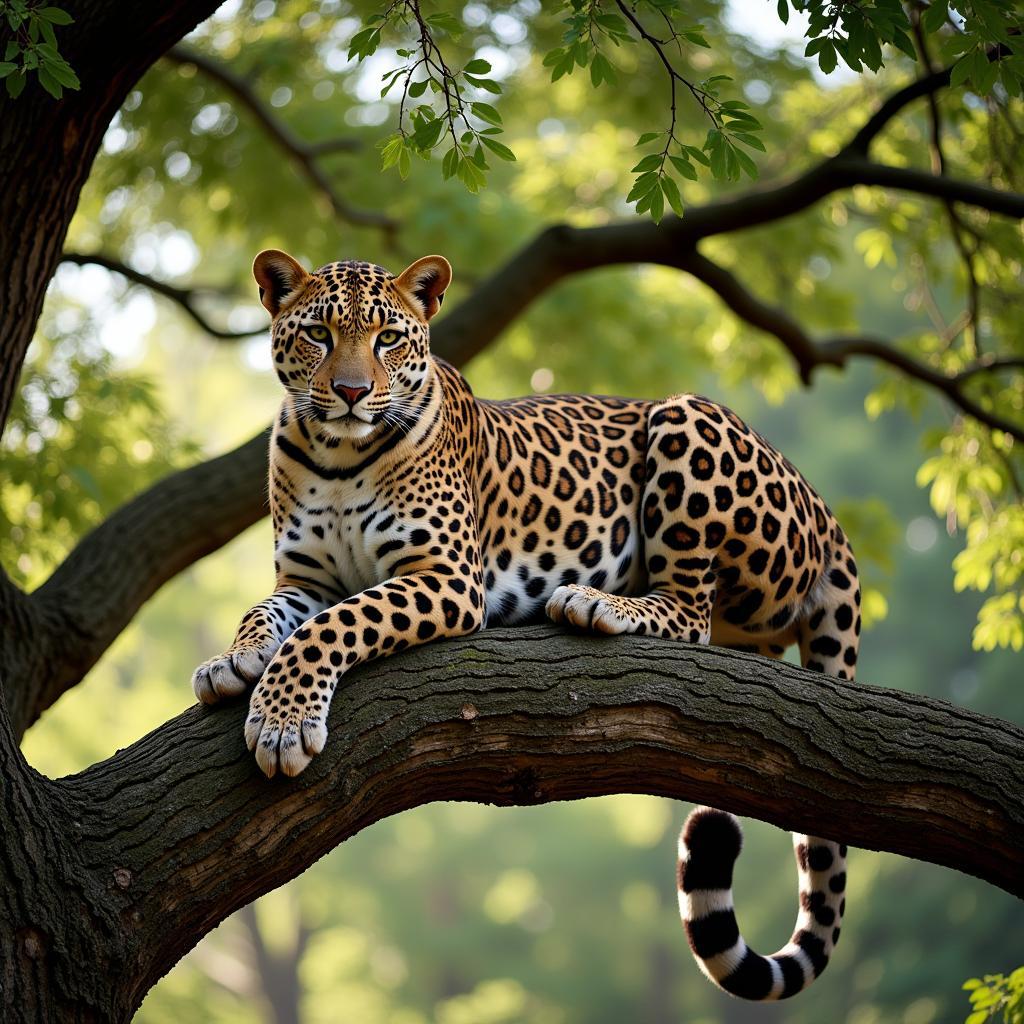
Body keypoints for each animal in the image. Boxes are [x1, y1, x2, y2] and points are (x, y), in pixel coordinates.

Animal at [190, 247, 856, 999]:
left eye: (387, 338)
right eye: (318, 335)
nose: (354, 392)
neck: (335, 455)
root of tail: (826, 514)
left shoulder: (447, 577)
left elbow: (332, 627)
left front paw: (282, 724)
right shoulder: (305, 581)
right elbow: (267, 613)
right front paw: (231, 661)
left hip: (687, 422)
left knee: (693, 612)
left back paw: (596, 603)